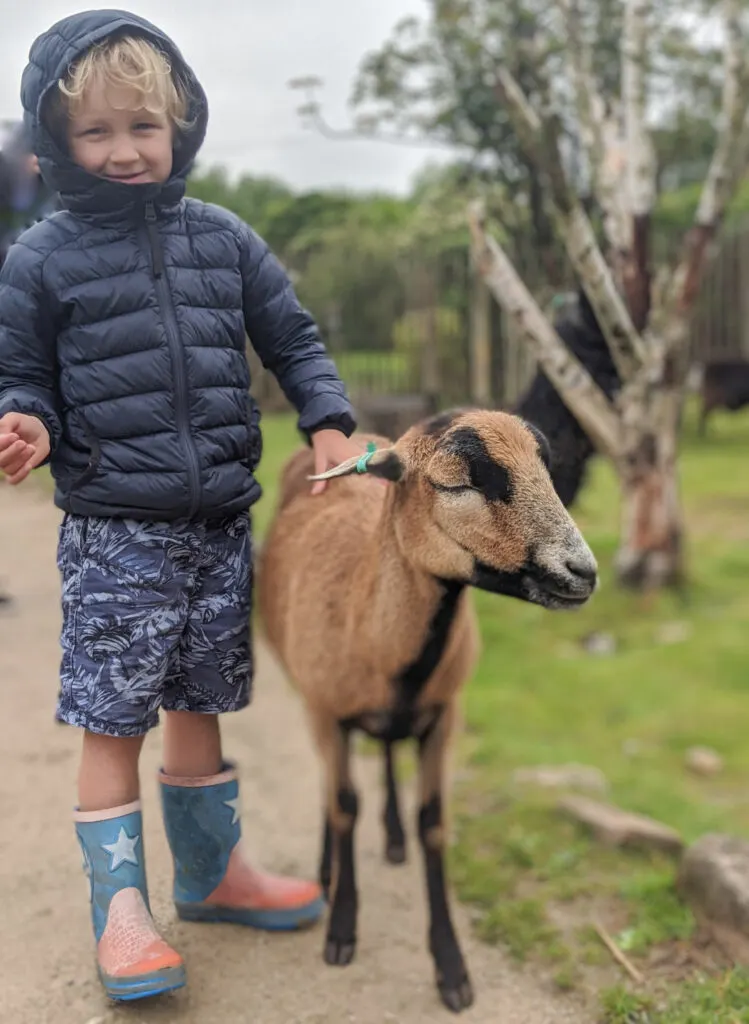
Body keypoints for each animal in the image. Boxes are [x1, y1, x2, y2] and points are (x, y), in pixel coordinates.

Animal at [256, 407, 598, 1015]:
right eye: (457, 484)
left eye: (548, 469)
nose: (582, 571)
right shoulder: (326, 711)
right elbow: (344, 806)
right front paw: (341, 930)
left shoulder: (444, 715)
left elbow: (432, 823)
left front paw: (452, 969)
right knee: (332, 783)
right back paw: (326, 867)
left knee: (388, 753)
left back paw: (391, 838)